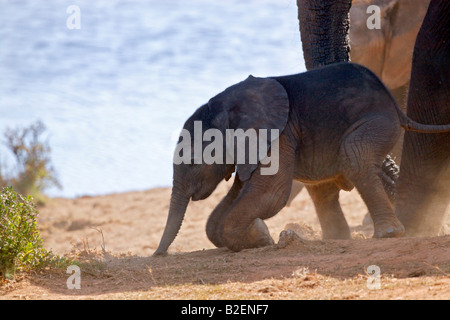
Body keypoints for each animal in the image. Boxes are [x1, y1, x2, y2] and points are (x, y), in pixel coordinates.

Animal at [154, 62, 450, 255]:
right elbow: (236, 198)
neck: (225, 106)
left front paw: (263, 238)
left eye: (194, 161)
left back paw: (387, 235)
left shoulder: (279, 133)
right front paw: (261, 236)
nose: (159, 255)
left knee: (354, 154)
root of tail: (396, 108)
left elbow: (271, 192)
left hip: (376, 121)